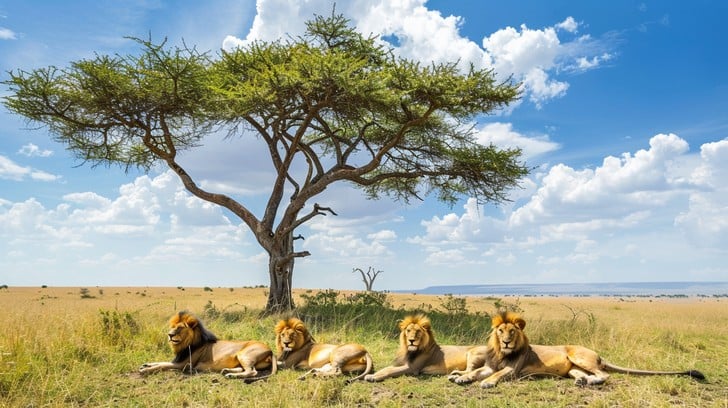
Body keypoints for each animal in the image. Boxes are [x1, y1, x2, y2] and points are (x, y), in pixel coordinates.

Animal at [139, 311, 276, 381]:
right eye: (172, 327)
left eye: (180, 328)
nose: (169, 335)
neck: (185, 345)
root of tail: (270, 350)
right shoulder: (177, 361)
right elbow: (161, 362)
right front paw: (146, 364)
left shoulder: (183, 365)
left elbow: (162, 365)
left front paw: (145, 370)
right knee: (245, 369)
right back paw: (226, 371)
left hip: (244, 354)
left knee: (252, 371)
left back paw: (230, 375)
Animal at [448, 311, 705, 388]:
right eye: (501, 331)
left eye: (512, 332)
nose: (507, 342)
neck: (503, 353)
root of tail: (599, 354)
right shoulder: (490, 365)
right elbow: (475, 371)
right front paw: (463, 378)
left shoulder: (512, 370)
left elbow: (498, 374)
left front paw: (487, 383)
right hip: (571, 367)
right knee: (583, 374)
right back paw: (582, 381)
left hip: (579, 356)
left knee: (604, 374)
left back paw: (591, 381)